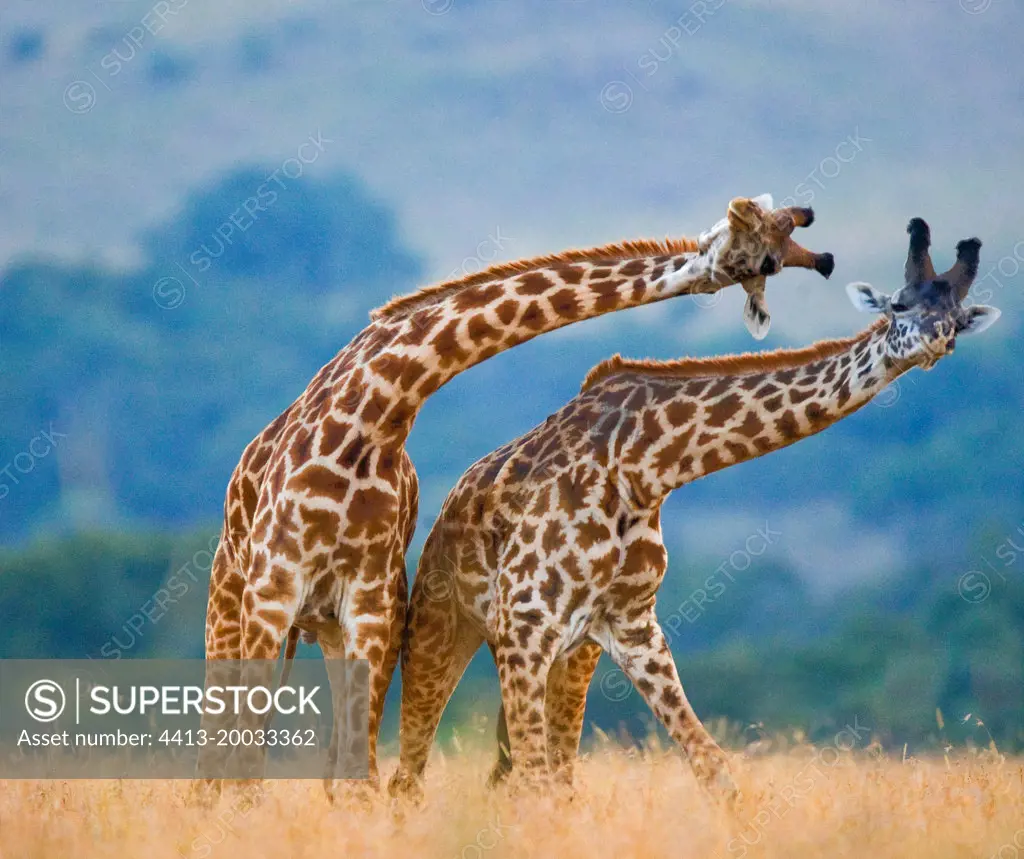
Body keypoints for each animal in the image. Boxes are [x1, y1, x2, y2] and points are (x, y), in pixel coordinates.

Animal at [197, 193, 831, 794]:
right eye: (768, 253)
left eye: (790, 243)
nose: (824, 260)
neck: (374, 415)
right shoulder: (273, 589)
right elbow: (247, 763)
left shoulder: (370, 606)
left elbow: (356, 771)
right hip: (233, 605)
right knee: (217, 757)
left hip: (332, 627)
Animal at [391, 220, 999, 798]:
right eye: (898, 305)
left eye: (957, 320)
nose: (934, 342)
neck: (645, 468)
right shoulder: (524, 623)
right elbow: (537, 782)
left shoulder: (631, 626)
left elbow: (714, 769)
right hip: (443, 628)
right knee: (412, 774)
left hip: (571, 654)